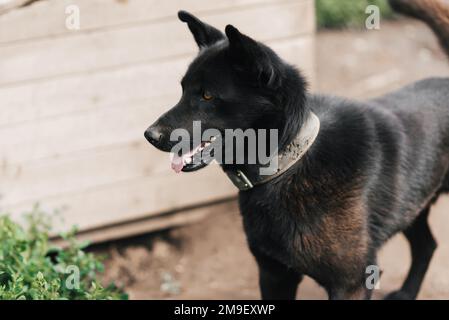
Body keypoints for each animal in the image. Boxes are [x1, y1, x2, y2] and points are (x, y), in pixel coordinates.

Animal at [145, 0, 448, 300]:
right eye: (183, 90)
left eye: (207, 95)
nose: (150, 135)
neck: (286, 162)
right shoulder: (274, 274)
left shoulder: (351, 283)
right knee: (427, 246)